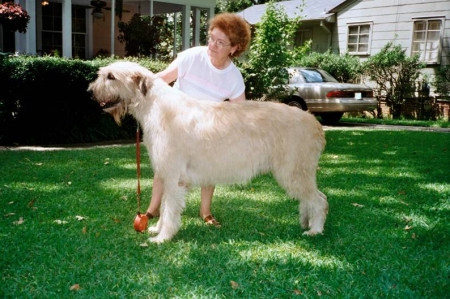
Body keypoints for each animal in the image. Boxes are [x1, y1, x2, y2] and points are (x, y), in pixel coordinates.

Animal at [88, 61, 328, 244]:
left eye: (111, 76)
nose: (89, 92)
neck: (154, 105)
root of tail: (314, 122)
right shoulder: (167, 173)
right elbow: (164, 204)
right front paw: (157, 229)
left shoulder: (174, 176)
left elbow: (169, 208)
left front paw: (162, 237)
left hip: (294, 170)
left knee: (320, 200)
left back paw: (315, 230)